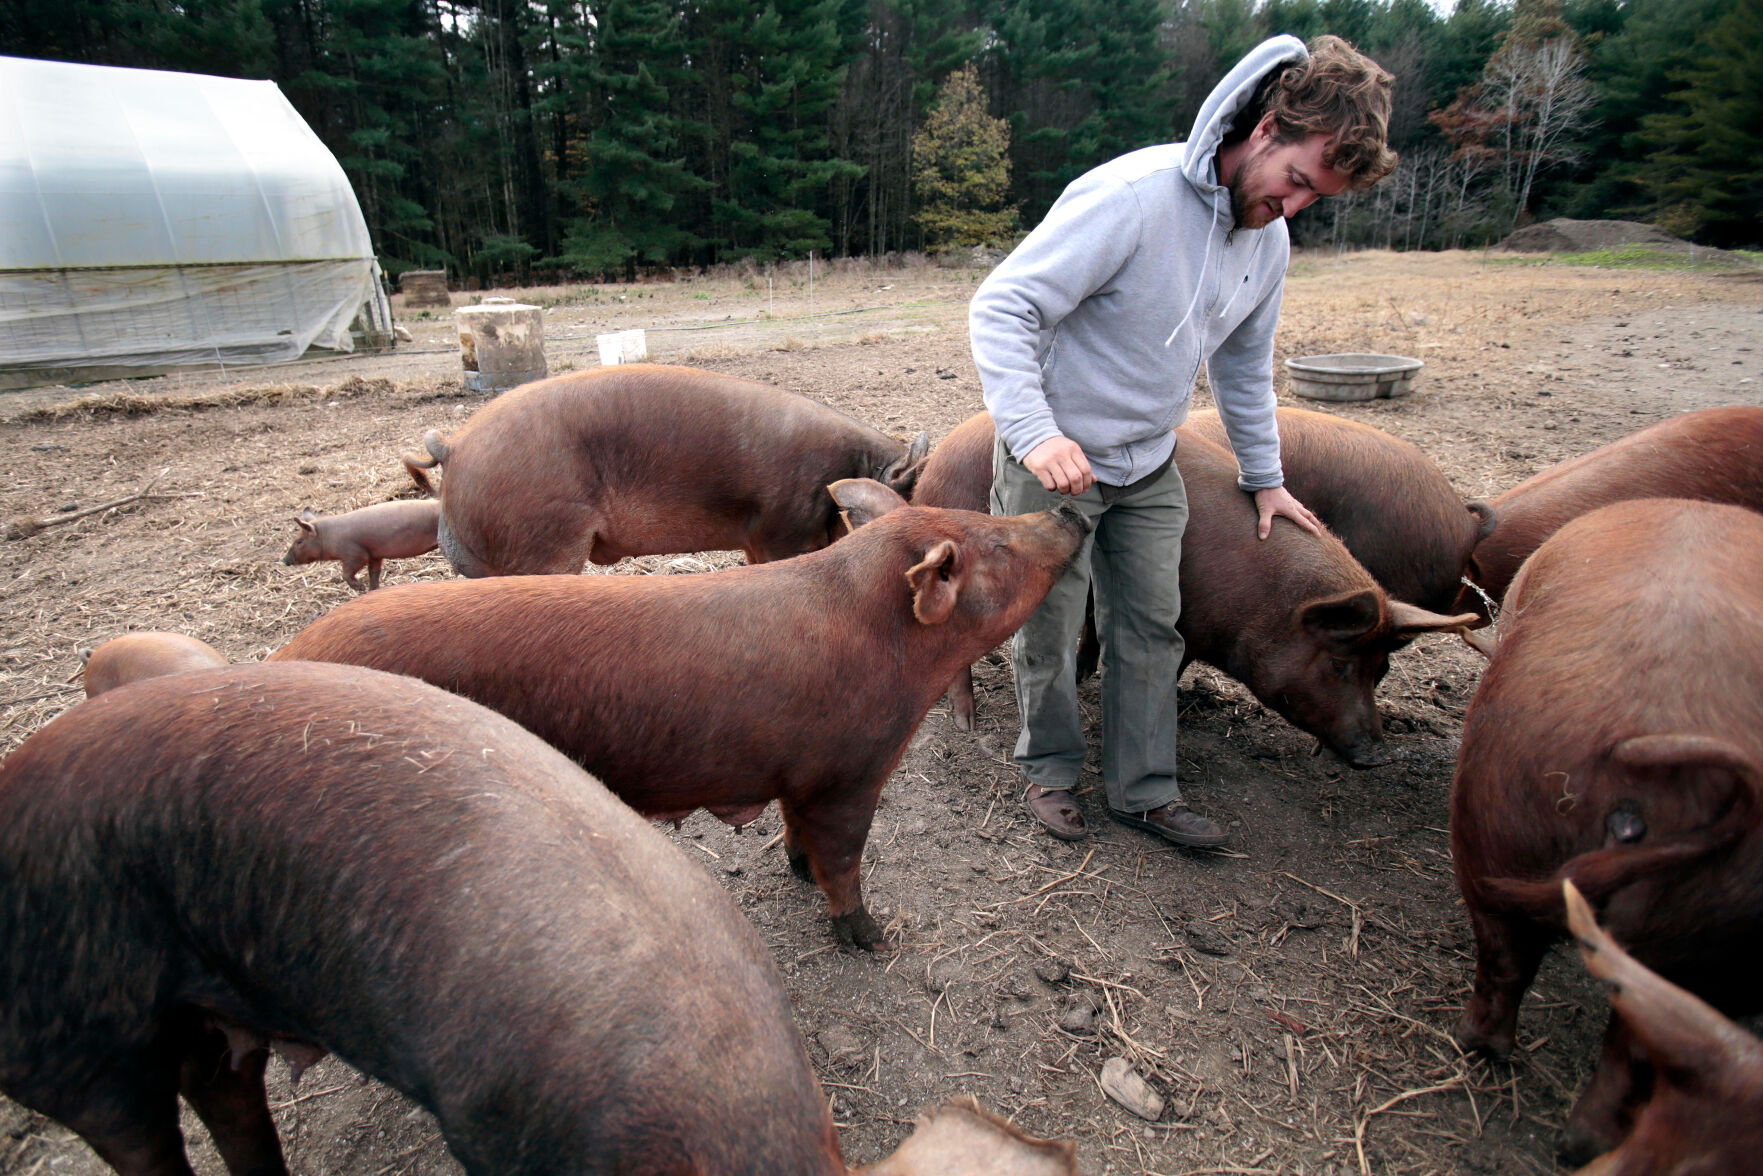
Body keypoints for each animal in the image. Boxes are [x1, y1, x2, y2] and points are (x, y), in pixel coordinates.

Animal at [279, 499, 441, 591]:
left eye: (299, 541)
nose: (284, 560)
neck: (329, 537)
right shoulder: (375, 555)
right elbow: (373, 573)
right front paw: (371, 590)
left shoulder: (355, 554)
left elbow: (346, 573)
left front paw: (361, 588)